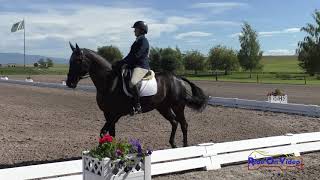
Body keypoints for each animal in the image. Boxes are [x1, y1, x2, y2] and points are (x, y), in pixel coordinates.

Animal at [66, 43, 209, 148]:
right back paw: (173, 144)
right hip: (163, 107)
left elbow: (103, 133)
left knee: (184, 124)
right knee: (174, 122)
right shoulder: (108, 114)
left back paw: (185, 146)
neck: (109, 82)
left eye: (78, 60)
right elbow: (111, 134)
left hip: (178, 106)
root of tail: (178, 78)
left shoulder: (115, 114)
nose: (69, 83)